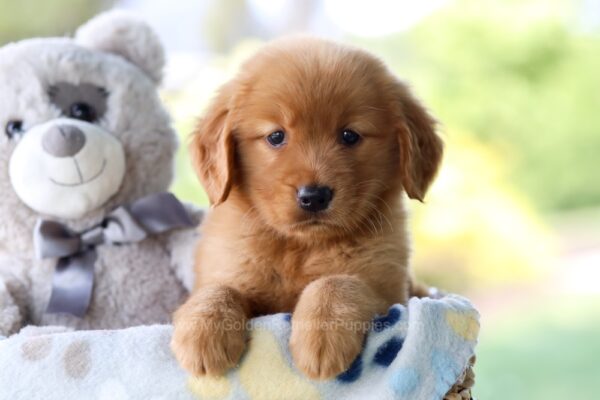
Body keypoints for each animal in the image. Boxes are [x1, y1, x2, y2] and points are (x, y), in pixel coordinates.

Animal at [171, 36, 442, 378]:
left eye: (349, 135)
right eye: (276, 136)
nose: (314, 196)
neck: (300, 248)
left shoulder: (387, 289)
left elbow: (337, 281)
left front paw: (321, 334)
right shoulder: (228, 267)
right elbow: (218, 289)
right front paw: (203, 330)